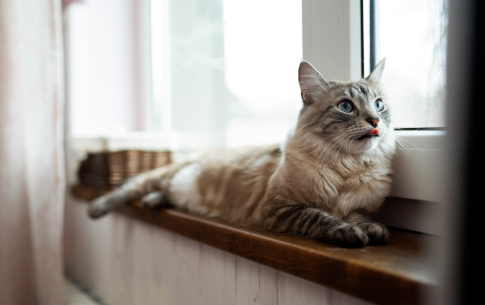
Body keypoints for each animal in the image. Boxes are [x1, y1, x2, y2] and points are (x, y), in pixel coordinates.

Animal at [89, 59, 396, 247]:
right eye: (346, 106)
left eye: (379, 105)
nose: (374, 121)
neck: (347, 166)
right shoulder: (280, 208)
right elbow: (322, 217)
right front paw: (348, 232)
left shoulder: (358, 206)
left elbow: (360, 217)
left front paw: (373, 230)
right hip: (161, 176)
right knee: (127, 189)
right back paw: (97, 209)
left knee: (158, 192)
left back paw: (154, 201)